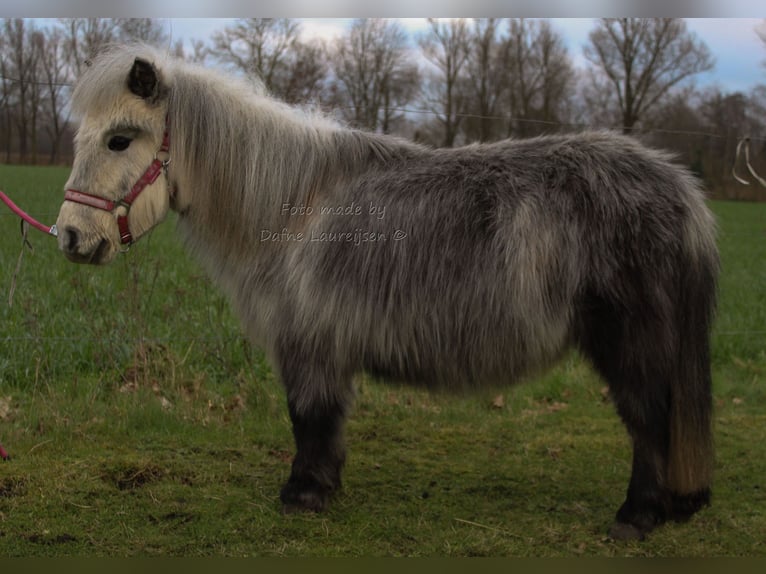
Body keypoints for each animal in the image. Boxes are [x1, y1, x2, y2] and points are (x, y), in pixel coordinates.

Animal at [55, 46, 720, 544]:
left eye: (120, 140)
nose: (70, 236)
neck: (290, 204)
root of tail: (679, 191)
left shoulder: (307, 344)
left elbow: (309, 418)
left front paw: (303, 494)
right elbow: (325, 423)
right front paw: (323, 486)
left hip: (630, 343)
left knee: (650, 420)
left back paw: (637, 516)